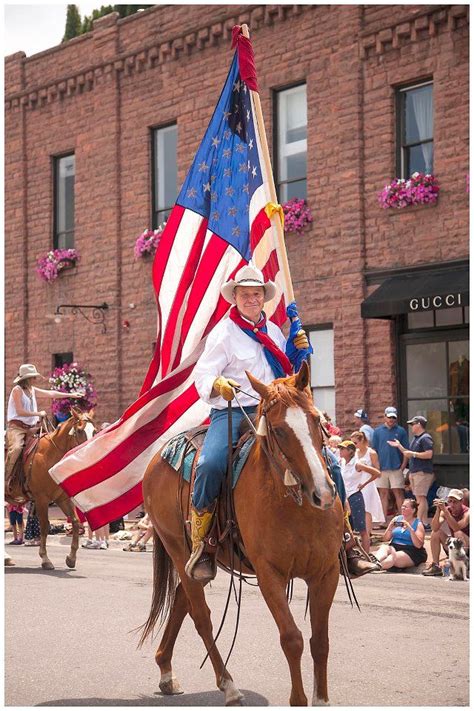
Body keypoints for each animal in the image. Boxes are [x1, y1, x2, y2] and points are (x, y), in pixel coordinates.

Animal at [5, 408, 92, 572]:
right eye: (79, 430)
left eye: (94, 430)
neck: (50, 456)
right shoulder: (41, 499)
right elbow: (44, 526)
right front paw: (45, 559)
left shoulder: (62, 498)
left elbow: (75, 522)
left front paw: (71, 558)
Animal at [139, 364, 342, 708]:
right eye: (278, 430)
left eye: (316, 420)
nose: (324, 493)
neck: (296, 506)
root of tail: (158, 455)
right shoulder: (269, 574)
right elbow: (292, 639)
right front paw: (299, 699)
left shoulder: (327, 572)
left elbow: (321, 641)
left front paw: (322, 699)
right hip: (177, 548)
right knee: (201, 617)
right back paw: (228, 686)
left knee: (181, 600)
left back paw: (166, 670)